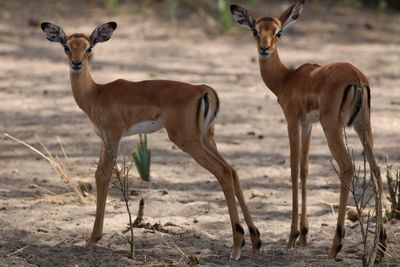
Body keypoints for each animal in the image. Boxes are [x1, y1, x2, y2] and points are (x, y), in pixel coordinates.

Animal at [39, 22, 260, 260]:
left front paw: (92, 239)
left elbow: (103, 176)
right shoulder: (103, 140)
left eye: (89, 48)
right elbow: (99, 175)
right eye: (66, 46)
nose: (77, 64)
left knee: (223, 172)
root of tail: (202, 88)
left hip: (188, 141)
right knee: (233, 171)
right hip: (207, 139)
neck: (96, 94)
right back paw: (255, 241)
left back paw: (236, 247)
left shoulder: (113, 137)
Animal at [231, 0, 388, 260]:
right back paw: (380, 247)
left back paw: (336, 246)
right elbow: (305, 168)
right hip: (362, 126)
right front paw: (304, 234)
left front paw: (292, 237)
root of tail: (357, 78)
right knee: (375, 170)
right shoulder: (308, 125)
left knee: (347, 166)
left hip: (333, 127)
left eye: (278, 32)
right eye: (255, 30)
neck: (288, 79)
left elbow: (294, 169)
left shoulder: (292, 121)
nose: (264, 49)